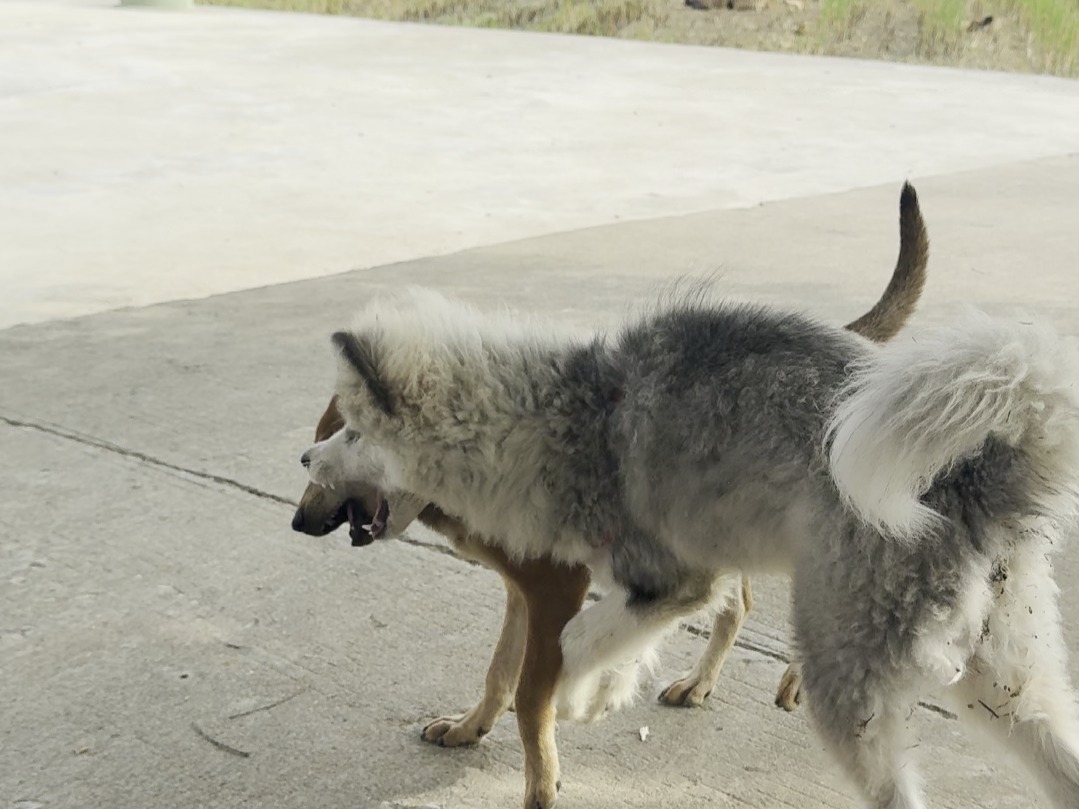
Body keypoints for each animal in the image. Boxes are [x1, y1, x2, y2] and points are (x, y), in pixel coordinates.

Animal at [308, 237, 1079, 806]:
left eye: (351, 430)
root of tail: (976, 479)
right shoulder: (656, 586)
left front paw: (577, 698)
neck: (561, 412)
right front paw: (607, 690)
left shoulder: (669, 577)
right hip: (1006, 685)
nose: (304, 454)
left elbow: (567, 646)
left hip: (850, 672)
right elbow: (606, 637)